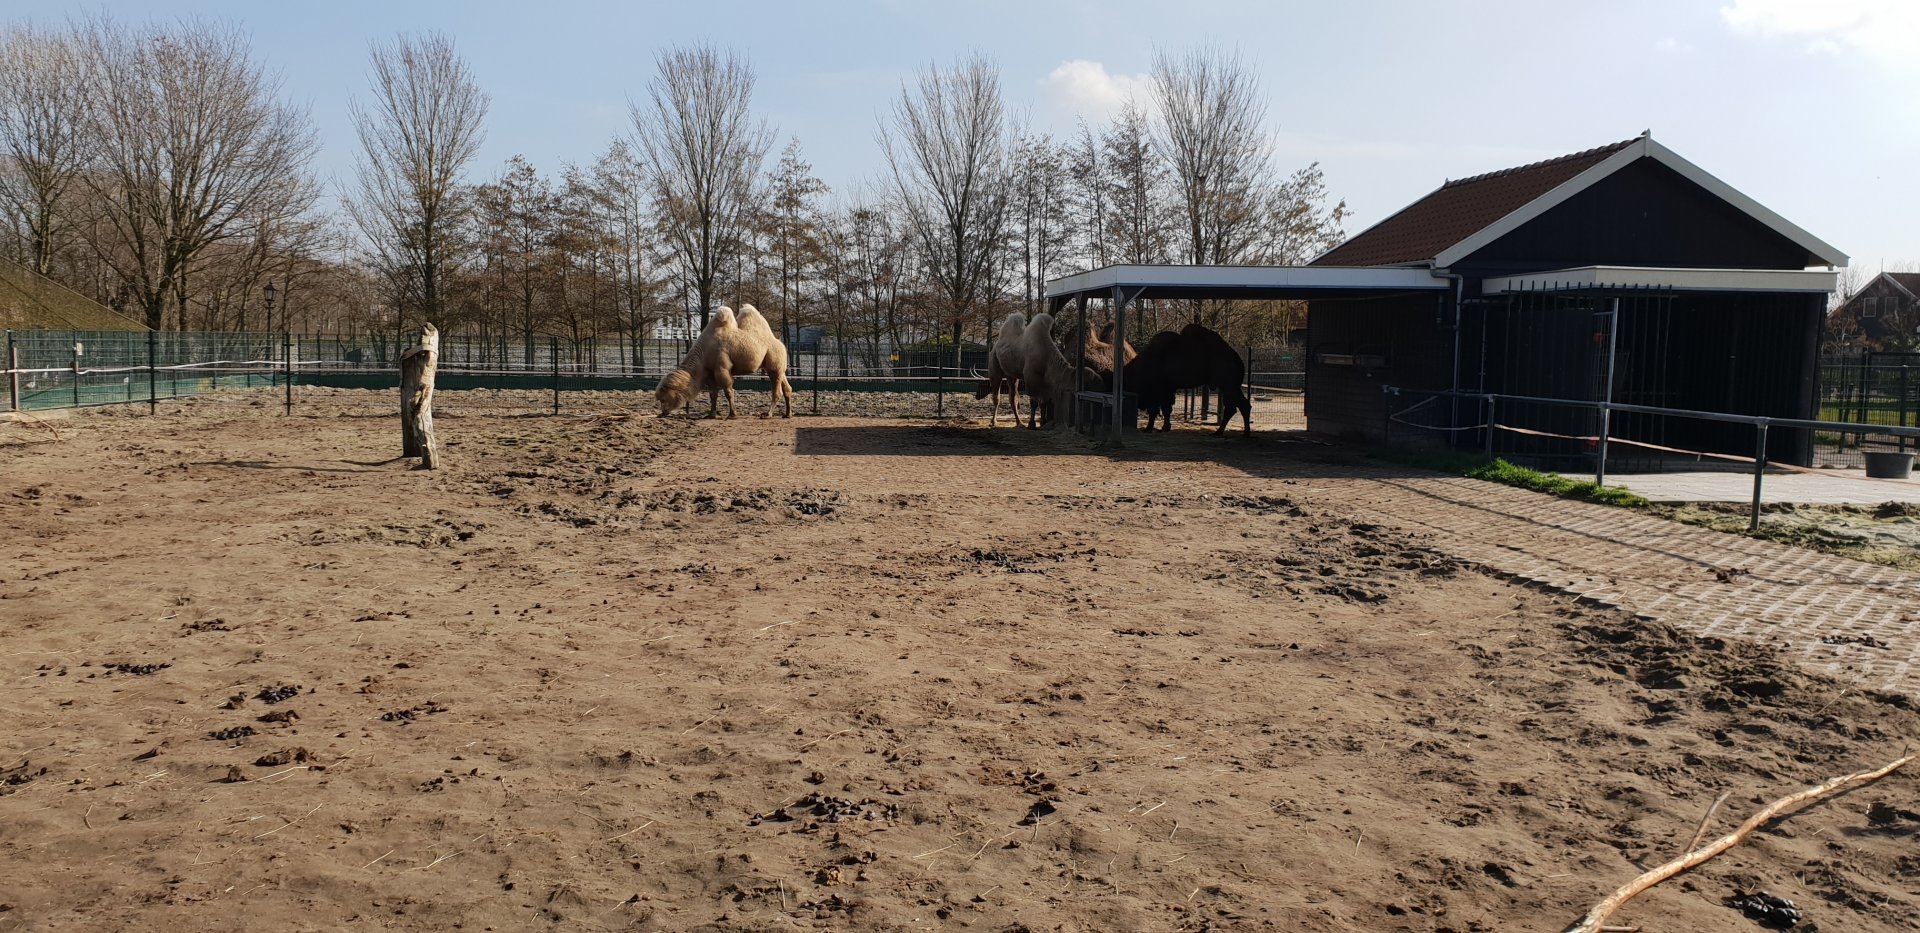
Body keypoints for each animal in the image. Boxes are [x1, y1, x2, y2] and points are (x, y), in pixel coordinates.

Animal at [655, 304, 794, 419]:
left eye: (663, 399)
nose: (663, 413)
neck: (704, 351)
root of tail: (781, 343)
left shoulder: (721, 367)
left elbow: (728, 391)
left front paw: (732, 414)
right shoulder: (710, 372)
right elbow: (713, 394)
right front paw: (711, 414)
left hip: (773, 362)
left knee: (777, 390)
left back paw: (767, 414)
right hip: (779, 367)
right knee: (787, 387)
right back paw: (787, 414)